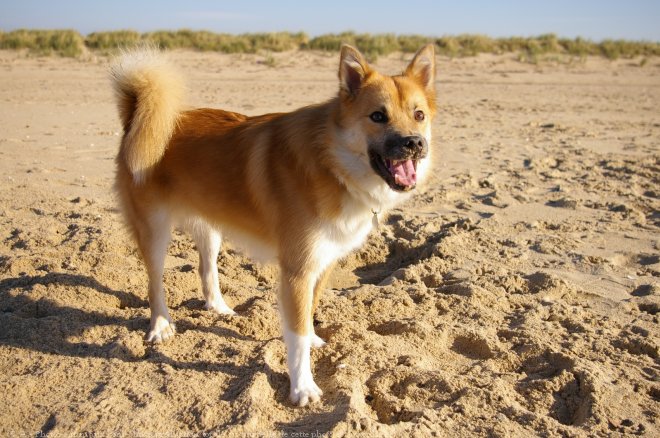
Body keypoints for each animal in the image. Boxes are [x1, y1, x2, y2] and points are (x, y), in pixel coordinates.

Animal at [111, 42, 436, 406]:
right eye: (378, 116)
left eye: (419, 115)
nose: (415, 144)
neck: (333, 164)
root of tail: (135, 116)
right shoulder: (296, 272)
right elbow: (295, 336)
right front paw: (302, 386)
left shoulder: (322, 263)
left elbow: (309, 314)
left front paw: (313, 341)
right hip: (155, 230)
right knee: (154, 282)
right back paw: (160, 325)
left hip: (210, 228)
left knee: (206, 269)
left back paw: (219, 308)